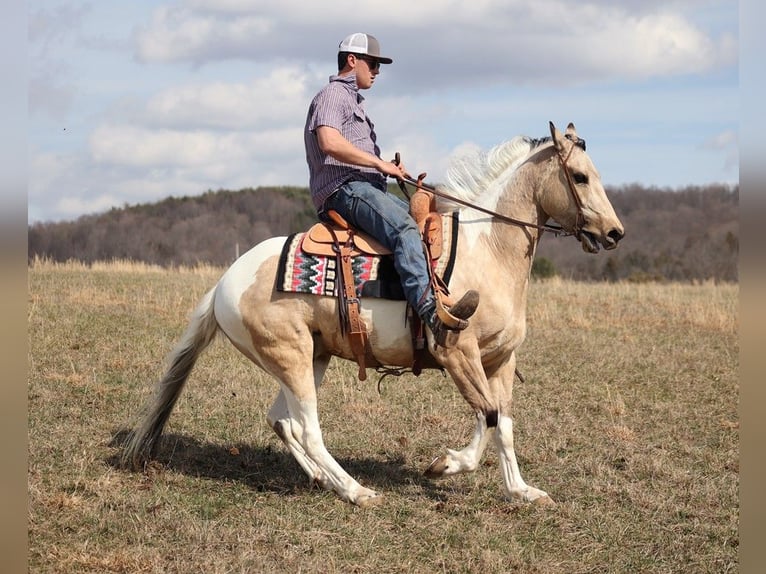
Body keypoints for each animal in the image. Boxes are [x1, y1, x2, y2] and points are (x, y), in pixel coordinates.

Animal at [120, 121, 624, 508]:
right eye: (579, 177)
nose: (615, 232)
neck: (487, 249)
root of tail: (225, 280)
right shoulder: (458, 352)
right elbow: (488, 415)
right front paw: (446, 464)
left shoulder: (500, 359)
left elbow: (504, 425)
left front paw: (521, 491)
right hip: (292, 358)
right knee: (308, 427)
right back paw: (356, 490)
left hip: (311, 357)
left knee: (282, 421)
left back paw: (322, 479)